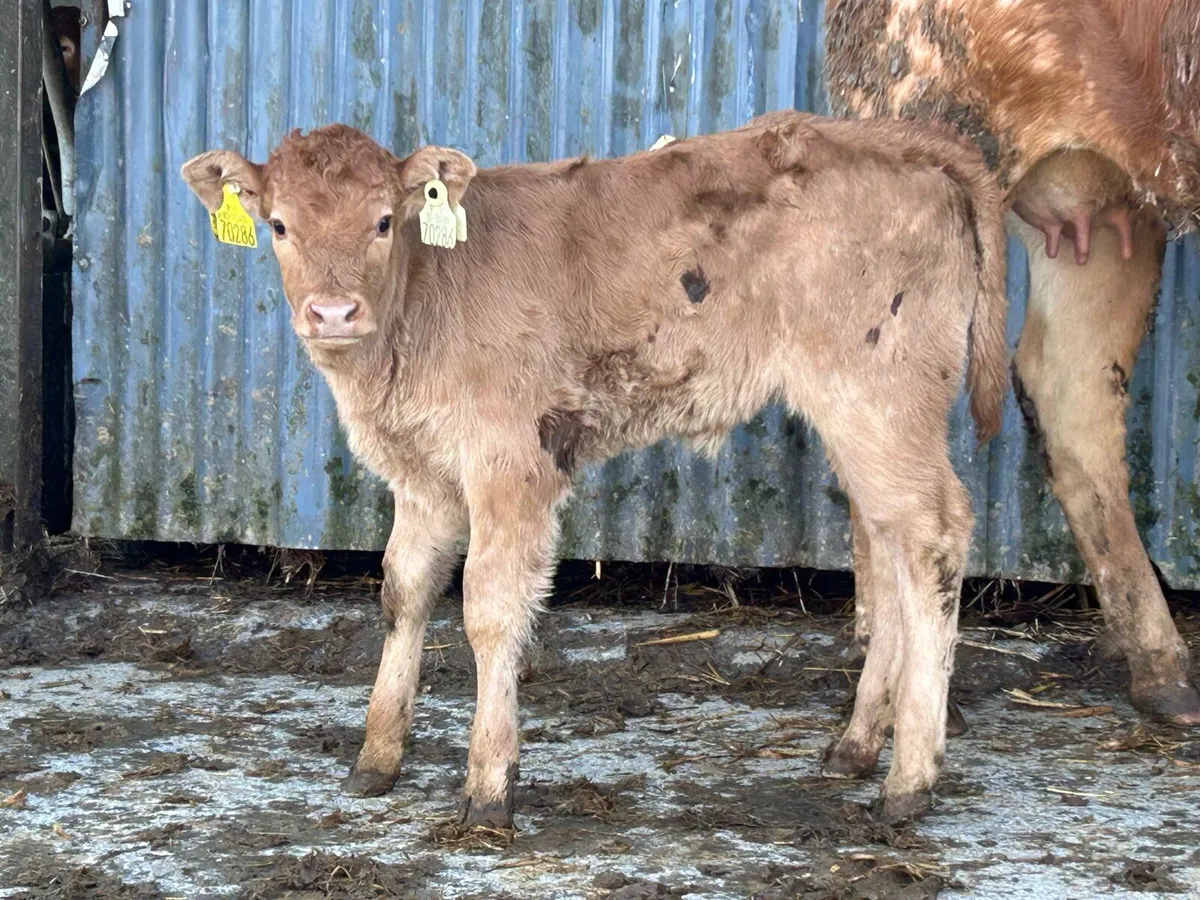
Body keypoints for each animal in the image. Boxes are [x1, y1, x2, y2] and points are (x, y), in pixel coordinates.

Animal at [181, 108, 1008, 825]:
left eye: (383, 221)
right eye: (279, 224)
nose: (332, 313)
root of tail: (895, 139)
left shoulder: (510, 460)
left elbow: (489, 608)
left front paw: (489, 785)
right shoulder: (422, 473)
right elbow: (403, 591)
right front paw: (377, 757)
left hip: (879, 393)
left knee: (931, 535)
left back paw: (909, 779)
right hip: (860, 416)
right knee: (885, 543)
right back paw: (858, 744)